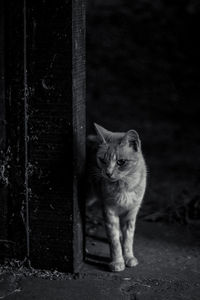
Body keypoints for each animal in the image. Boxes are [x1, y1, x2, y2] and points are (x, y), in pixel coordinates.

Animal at [87, 123, 147, 272]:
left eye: (121, 162)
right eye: (102, 160)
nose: (108, 173)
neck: (123, 185)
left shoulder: (132, 211)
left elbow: (128, 238)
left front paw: (129, 257)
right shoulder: (109, 210)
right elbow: (114, 240)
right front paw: (117, 261)